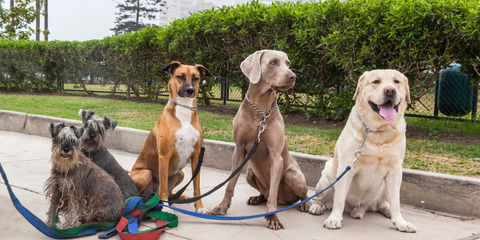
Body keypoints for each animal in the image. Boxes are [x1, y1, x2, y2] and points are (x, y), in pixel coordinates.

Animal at [131, 61, 214, 214]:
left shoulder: (196, 157)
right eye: (180, 76)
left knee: (170, 193)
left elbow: (197, 187)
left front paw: (199, 206)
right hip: (145, 173)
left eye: (196, 78)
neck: (184, 109)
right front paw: (165, 208)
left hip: (180, 174)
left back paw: (180, 197)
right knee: (150, 193)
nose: (190, 90)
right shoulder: (164, 156)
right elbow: (163, 187)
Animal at [308, 69, 416, 232]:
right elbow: (339, 198)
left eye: (397, 82)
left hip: (384, 187)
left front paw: (400, 222)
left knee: (384, 203)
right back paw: (316, 206)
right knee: (319, 197)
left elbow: (396, 202)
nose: (390, 90)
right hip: (326, 179)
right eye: (376, 81)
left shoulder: (395, 171)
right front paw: (334, 218)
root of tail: (359, 208)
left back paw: (387, 210)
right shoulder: (346, 167)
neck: (378, 131)